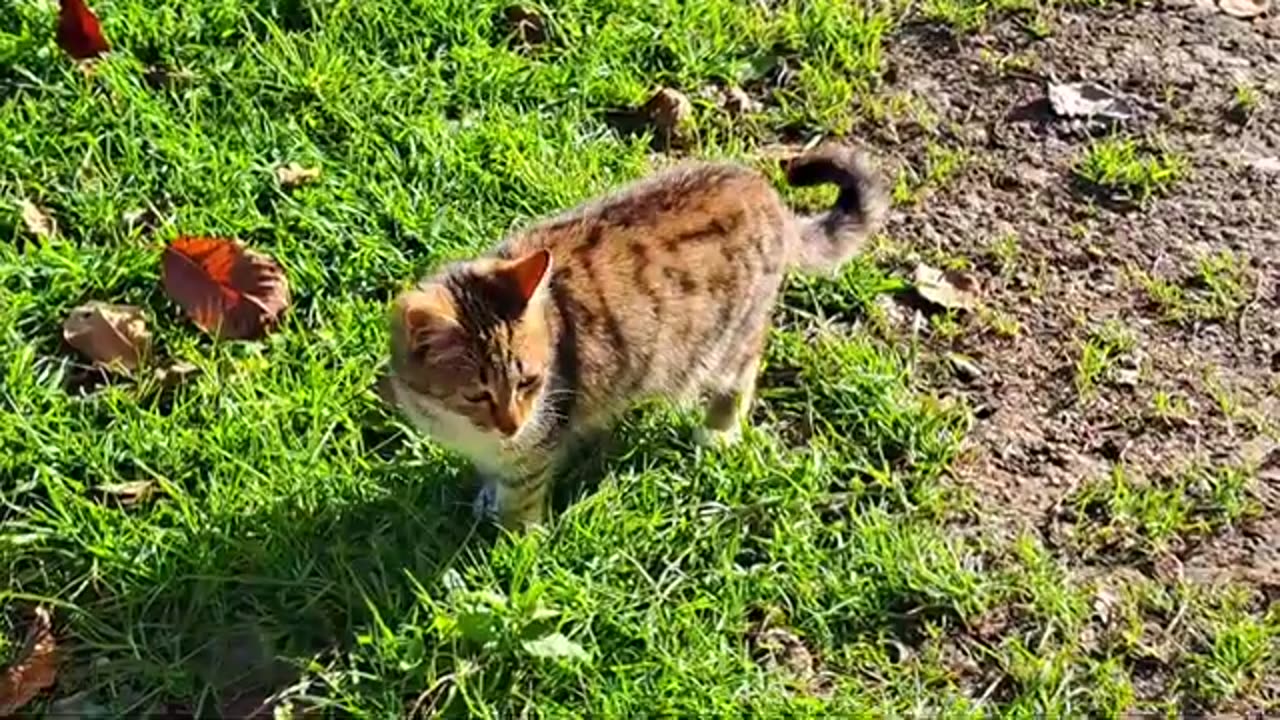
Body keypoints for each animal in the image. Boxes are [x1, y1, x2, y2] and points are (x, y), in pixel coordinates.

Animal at [389, 146, 885, 527]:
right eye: (478, 394)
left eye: (529, 382)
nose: (512, 424)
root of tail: (767, 193)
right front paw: (487, 501)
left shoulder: (537, 444)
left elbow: (520, 499)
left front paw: (514, 549)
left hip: (730, 339)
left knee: (741, 376)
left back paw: (717, 434)